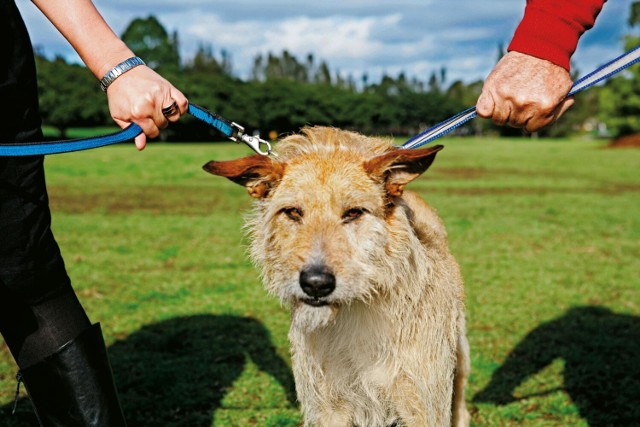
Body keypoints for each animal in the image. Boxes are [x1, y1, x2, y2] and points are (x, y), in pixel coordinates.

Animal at [204, 127, 470, 427]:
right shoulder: (328, 406)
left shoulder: (423, 405)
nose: (315, 284)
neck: (357, 311)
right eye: (293, 212)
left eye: (353, 212)